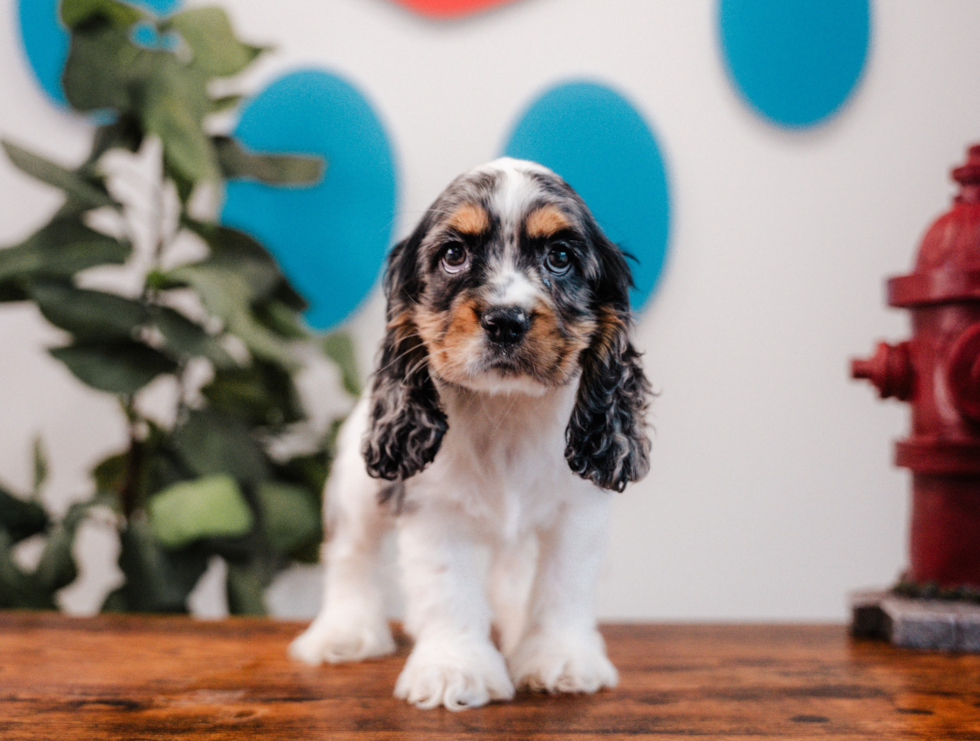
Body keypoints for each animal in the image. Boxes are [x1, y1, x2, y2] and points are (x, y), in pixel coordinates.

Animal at [290, 158, 652, 712]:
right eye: (453, 255)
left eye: (560, 257)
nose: (506, 319)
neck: (505, 411)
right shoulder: (434, 510)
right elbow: (448, 589)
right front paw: (453, 671)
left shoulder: (576, 513)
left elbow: (562, 585)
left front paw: (561, 660)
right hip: (356, 485)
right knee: (351, 553)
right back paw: (344, 632)